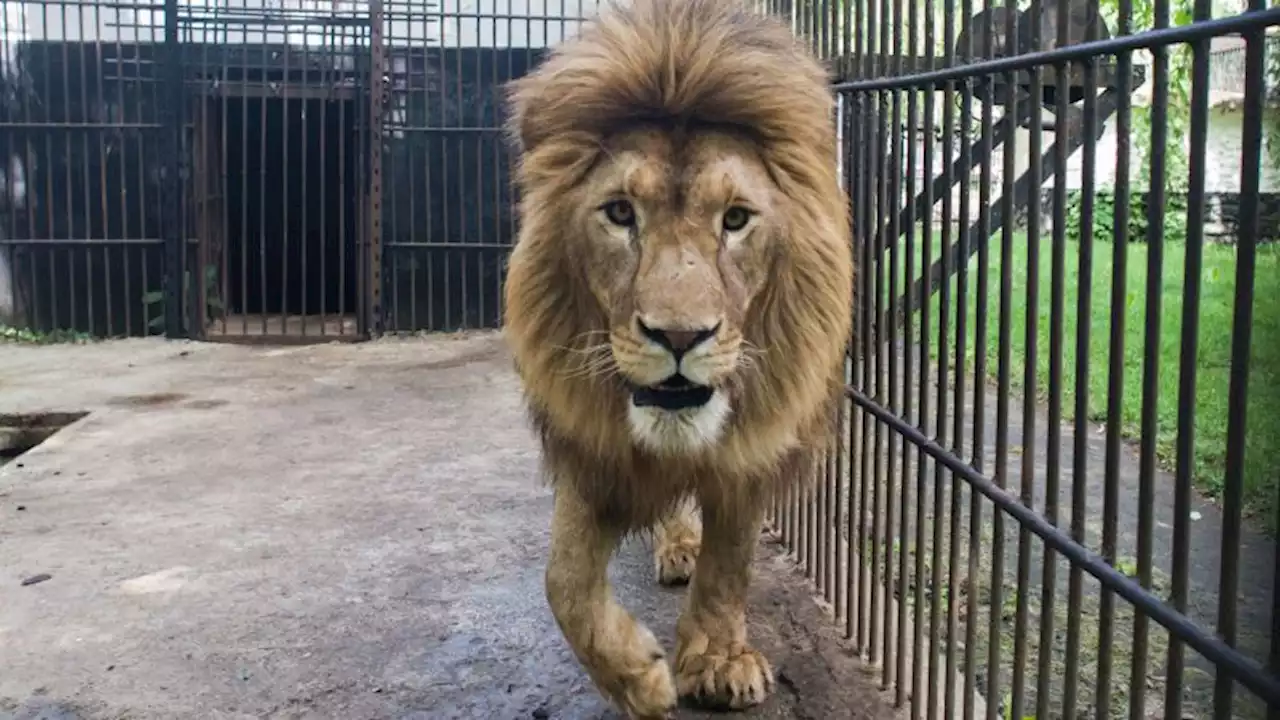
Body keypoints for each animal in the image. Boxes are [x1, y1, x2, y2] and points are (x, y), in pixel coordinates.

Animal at [499, 0, 849, 712]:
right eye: (619, 212)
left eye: (736, 219)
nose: (681, 337)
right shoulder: (592, 448)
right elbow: (565, 580)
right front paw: (637, 678)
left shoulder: (753, 448)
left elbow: (730, 562)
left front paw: (717, 661)